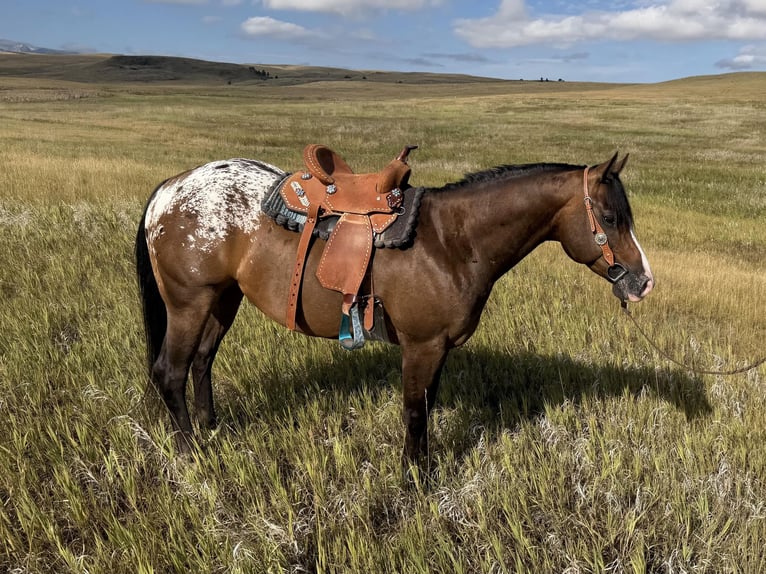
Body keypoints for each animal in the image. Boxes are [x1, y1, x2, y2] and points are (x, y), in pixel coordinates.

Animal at [135, 150, 654, 466]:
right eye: (611, 217)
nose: (643, 282)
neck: (452, 241)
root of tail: (171, 188)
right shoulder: (421, 346)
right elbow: (414, 412)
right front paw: (414, 480)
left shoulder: (438, 348)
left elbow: (425, 407)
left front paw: (423, 469)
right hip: (189, 302)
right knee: (171, 371)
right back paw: (189, 451)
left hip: (224, 298)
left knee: (202, 361)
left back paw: (212, 429)